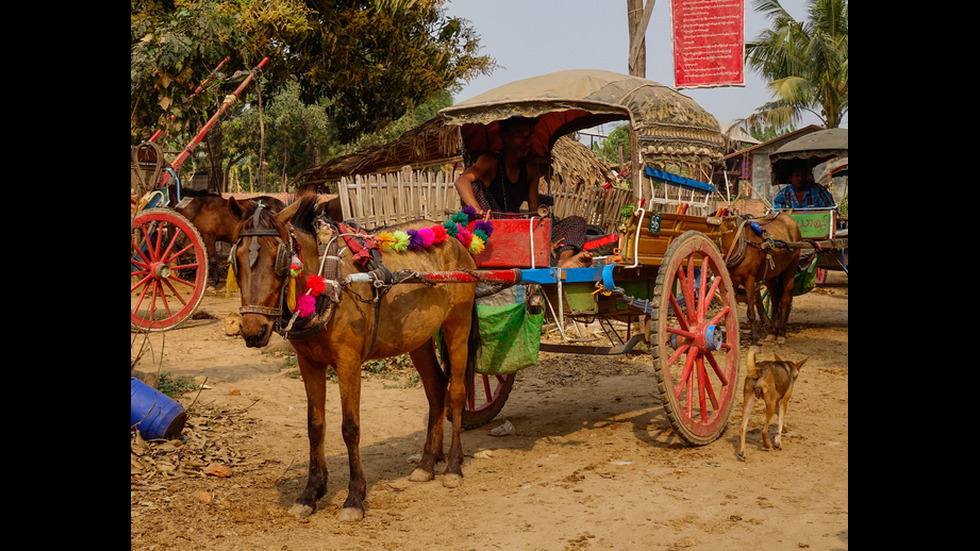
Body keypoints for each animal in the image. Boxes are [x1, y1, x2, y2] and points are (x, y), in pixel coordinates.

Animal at [227, 197, 478, 520]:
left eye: (278, 259)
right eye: (237, 259)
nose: (253, 331)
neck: (328, 282)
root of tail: (455, 239)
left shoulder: (348, 362)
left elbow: (350, 428)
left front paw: (354, 497)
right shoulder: (309, 363)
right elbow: (315, 425)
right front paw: (310, 493)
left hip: (457, 323)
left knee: (456, 391)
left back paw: (453, 466)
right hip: (418, 338)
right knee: (436, 389)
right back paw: (426, 463)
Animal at [716, 215, 800, 344]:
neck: (739, 245)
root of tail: (789, 218)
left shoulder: (749, 281)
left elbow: (751, 312)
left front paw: (754, 340)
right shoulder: (733, 283)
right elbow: (733, 310)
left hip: (791, 267)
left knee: (785, 299)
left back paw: (781, 333)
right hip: (771, 274)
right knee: (775, 299)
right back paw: (772, 333)